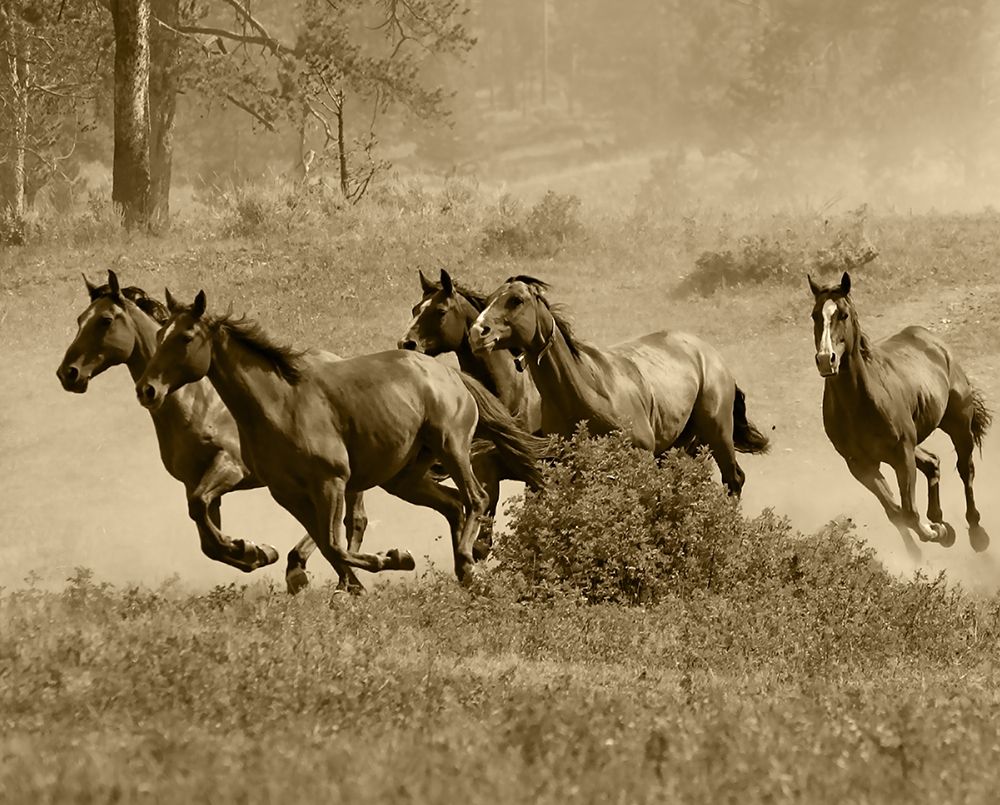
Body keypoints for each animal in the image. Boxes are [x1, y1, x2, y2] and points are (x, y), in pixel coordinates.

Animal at [56, 270, 365, 594]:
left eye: (105, 320)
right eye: (80, 319)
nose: (68, 373)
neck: (193, 402)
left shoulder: (229, 468)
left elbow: (200, 509)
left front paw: (254, 550)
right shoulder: (193, 482)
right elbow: (205, 534)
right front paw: (253, 551)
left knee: (348, 521)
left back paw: (314, 572)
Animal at [135, 290, 547, 587]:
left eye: (186, 337)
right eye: (159, 334)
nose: (147, 390)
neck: (280, 405)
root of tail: (449, 374)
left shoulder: (330, 482)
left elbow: (334, 543)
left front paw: (393, 559)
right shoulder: (288, 494)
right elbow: (328, 546)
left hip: (453, 448)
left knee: (475, 499)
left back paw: (467, 563)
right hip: (404, 478)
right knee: (452, 504)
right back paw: (463, 571)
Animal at [468, 276, 770, 495]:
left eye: (515, 300)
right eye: (489, 299)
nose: (477, 333)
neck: (586, 394)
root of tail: (711, 355)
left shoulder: (641, 458)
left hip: (717, 431)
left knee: (734, 479)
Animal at [808, 272, 991, 558]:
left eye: (843, 315)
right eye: (815, 315)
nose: (827, 359)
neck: (857, 404)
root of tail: (933, 342)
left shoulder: (901, 455)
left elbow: (909, 512)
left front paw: (937, 532)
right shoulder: (860, 466)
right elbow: (895, 512)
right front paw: (923, 547)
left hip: (958, 423)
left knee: (965, 469)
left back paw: (975, 532)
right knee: (933, 462)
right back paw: (938, 517)